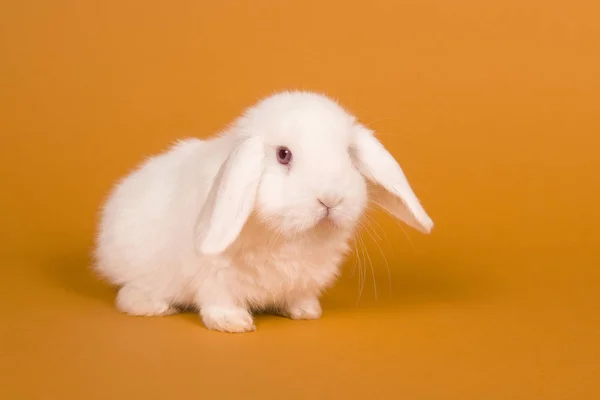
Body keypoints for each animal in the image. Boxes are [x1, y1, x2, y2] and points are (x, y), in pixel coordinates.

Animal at [92, 90, 432, 332]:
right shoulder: (213, 276)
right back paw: (155, 306)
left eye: (349, 154)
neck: (290, 237)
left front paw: (306, 312)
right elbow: (218, 298)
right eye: (283, 155)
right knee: (127, 294)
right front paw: (233, 323)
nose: (330, 199)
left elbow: (300, 296)